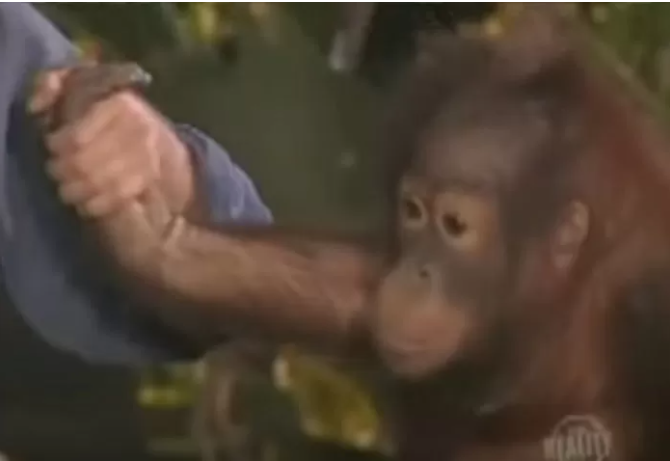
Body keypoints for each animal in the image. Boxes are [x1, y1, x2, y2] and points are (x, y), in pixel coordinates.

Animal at [44, 6, 670, 461]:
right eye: (413, 212)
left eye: (455, 225)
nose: (415, 275)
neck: (566, 315)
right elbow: (296, 279)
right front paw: (139, 218)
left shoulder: (648, 314)